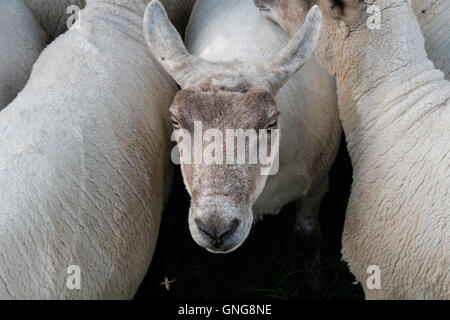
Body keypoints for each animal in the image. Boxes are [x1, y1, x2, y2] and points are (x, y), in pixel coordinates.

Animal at [144, 0, 342, 292]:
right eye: (175, 120)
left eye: (272, 122)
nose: (216, 230)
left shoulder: (317, 183)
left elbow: (307, 238)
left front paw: (317, 286)